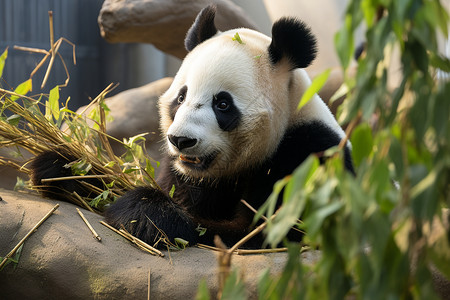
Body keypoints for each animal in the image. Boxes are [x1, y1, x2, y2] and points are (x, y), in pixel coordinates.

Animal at [30, 5, 356, 248]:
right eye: (181, 97)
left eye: (222, 104)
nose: (180, 140)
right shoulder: (183, 173)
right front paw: (61, 166)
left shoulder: (306, 157)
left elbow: (258, 234)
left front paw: (143, 212)